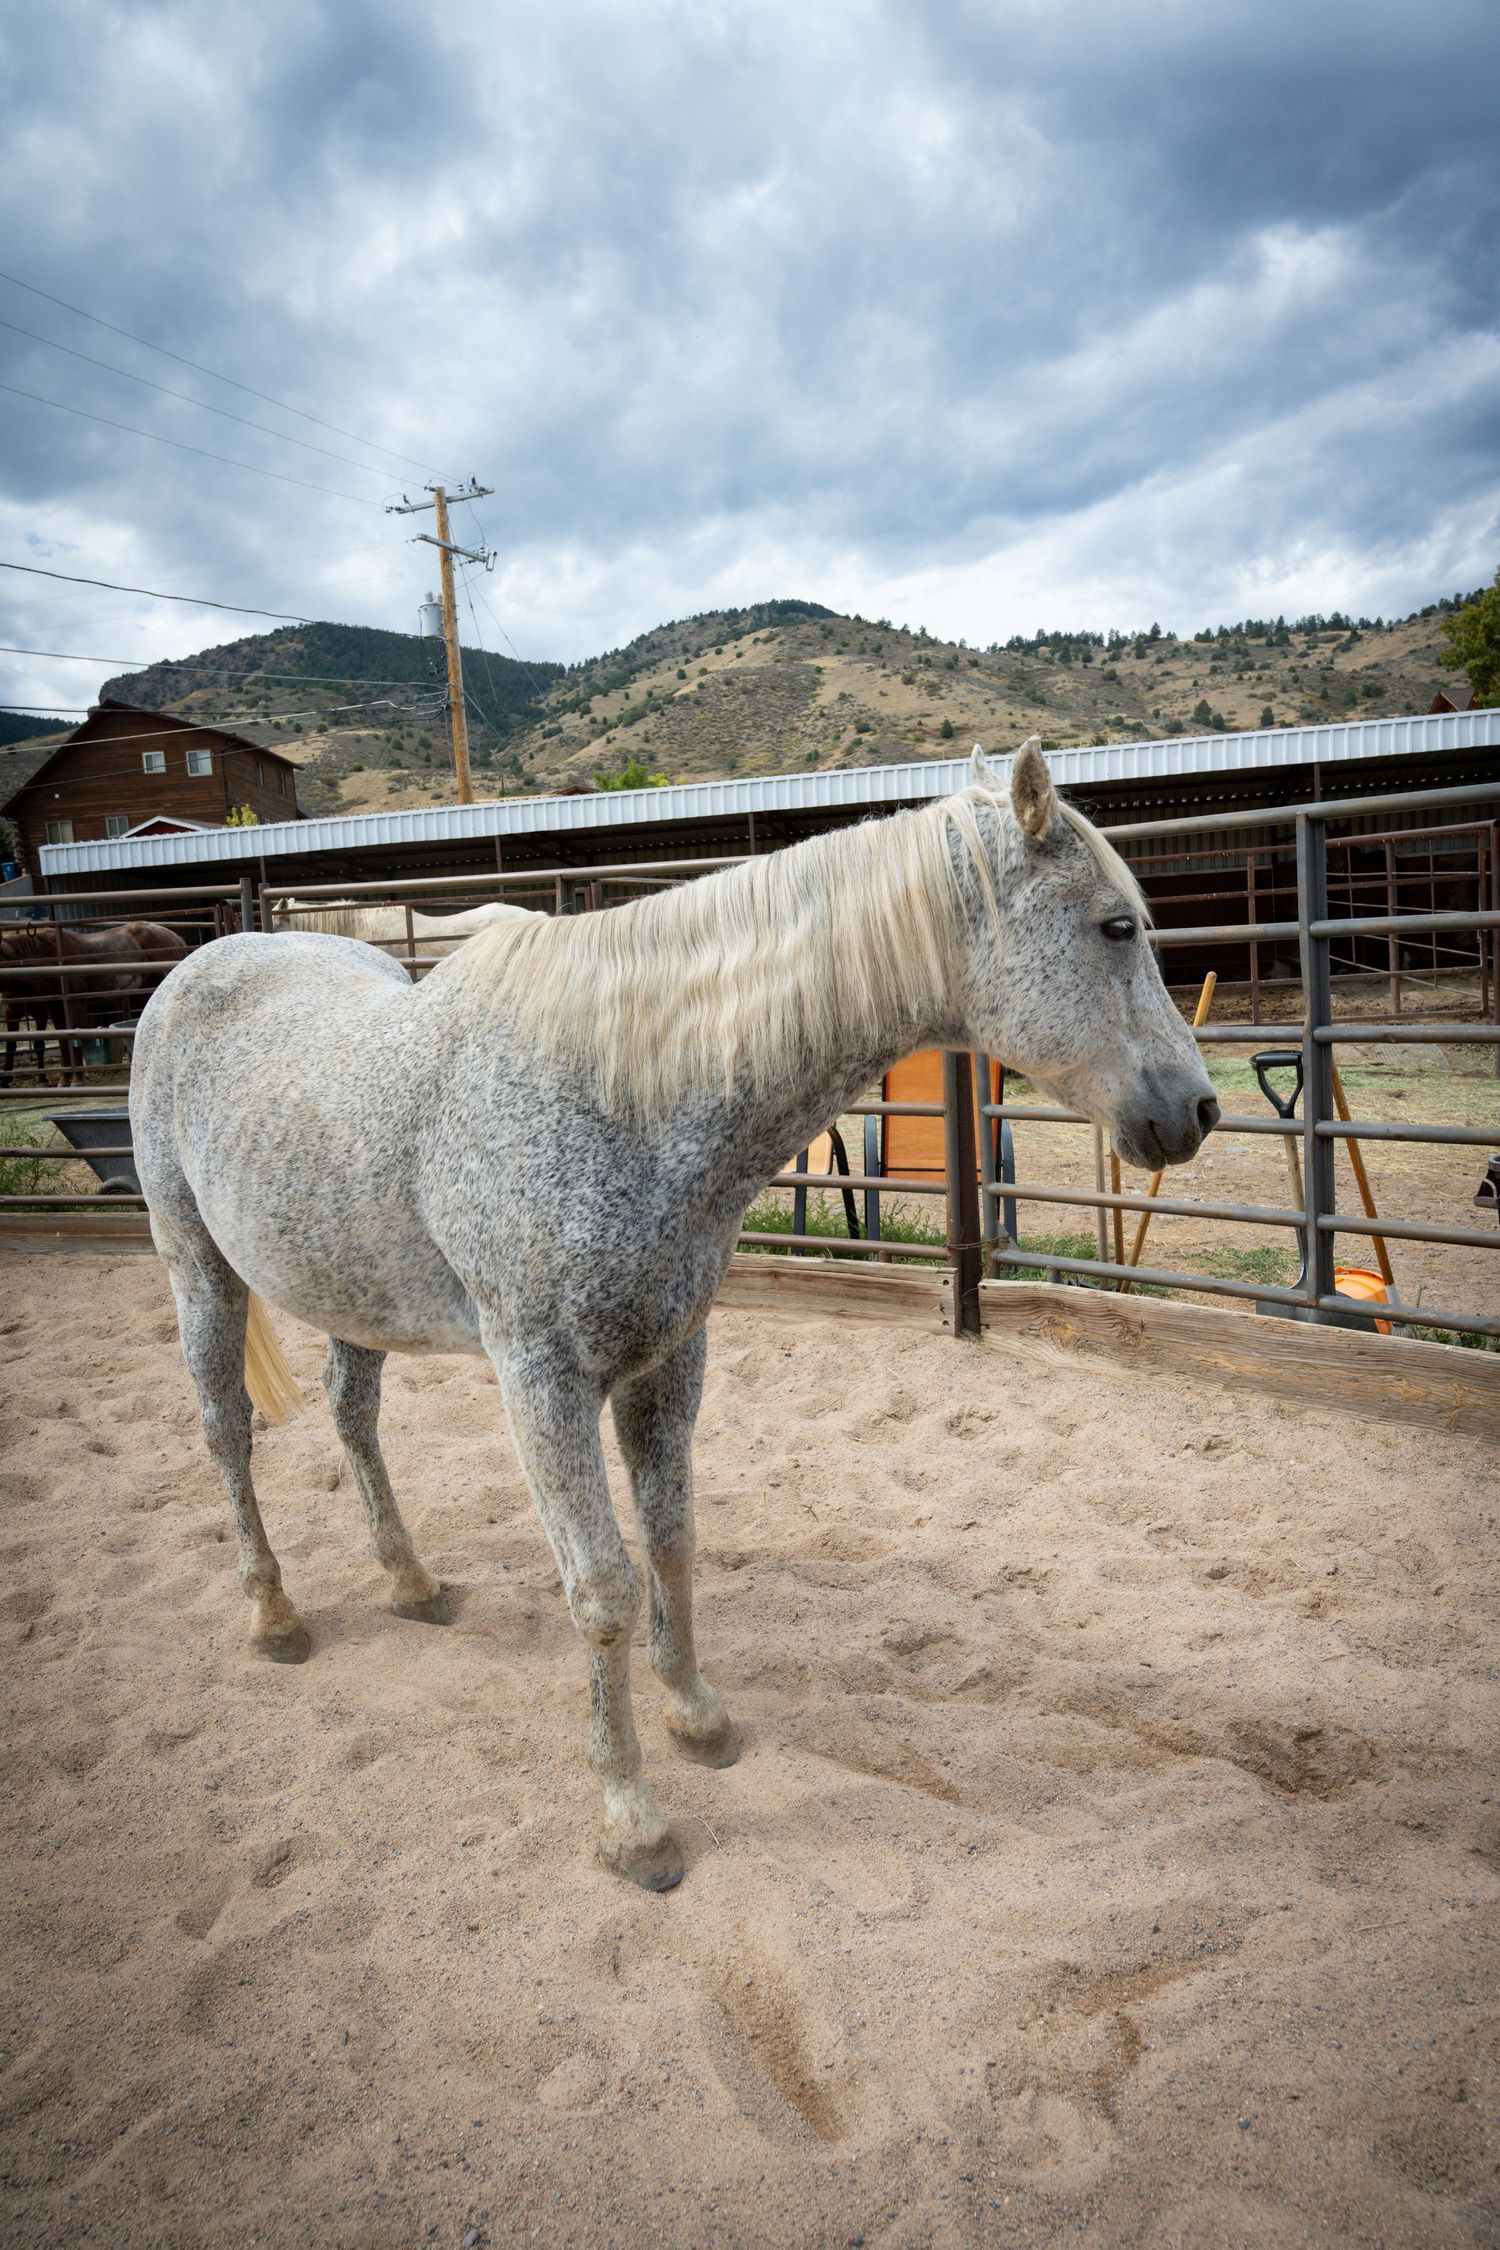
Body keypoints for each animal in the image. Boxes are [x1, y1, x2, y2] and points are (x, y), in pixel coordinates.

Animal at [0, 919, 187, 1085]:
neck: (47, 956)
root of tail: (177, 938)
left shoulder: (73, 1006)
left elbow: (73, 1039)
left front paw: (77, 1080)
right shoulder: (55, 1008)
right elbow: (62, 1042)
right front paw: (64, 1080)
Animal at [129, 742, 1217, 1891]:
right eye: (1116, 925)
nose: (1196, 1110)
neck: (625, 1098)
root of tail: (201, 968)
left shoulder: (668, 1360)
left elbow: (673, 1542)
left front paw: (698, 1717)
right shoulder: (544, 1382)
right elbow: (604, 1589)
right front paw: (633, 1819)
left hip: (350, 1290)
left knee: (351, 1413)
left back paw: (411, 1581)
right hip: (196, 1265)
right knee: (225, 1430)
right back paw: (273, 1613)